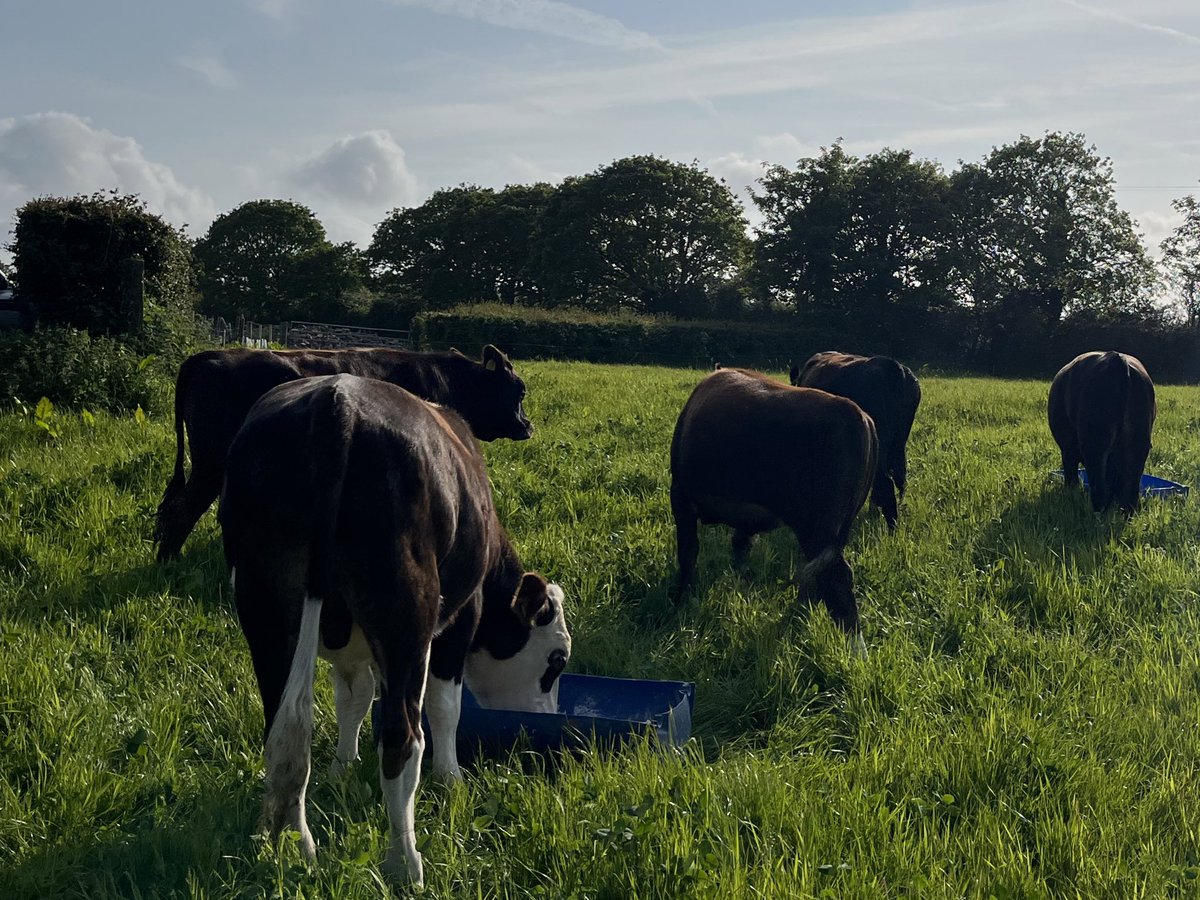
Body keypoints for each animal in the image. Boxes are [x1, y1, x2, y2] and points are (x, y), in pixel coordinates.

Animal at [154, 344, 532, 561]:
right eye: (520, 390)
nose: (527, 425)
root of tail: (204, 357)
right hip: (210, 464)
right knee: (180, 511)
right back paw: (169, 563)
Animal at [218, 373, 570, 886]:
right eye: (556, 660)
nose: (545, 717)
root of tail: (337, 401)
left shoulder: (350, 651)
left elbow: (354, 699)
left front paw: (342, 768)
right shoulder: (459, 620)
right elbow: (445, 707)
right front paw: (450, 778)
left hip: (266, 607)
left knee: (284, 732)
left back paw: (292, 844)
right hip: (407, 612)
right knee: (403, 736)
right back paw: (405, 862)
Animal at [670, 368, 877, 639]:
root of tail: (857, 416)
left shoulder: (681, 496)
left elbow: (688, 550)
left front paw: (683, 599)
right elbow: (740, 546)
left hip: (816, 528)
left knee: (836, 577)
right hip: (837, 529)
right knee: (819, 576)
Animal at [1048, 350, 1156, 514]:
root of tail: (1117, 360)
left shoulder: (1068, 450)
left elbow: (1071, 478)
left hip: (1094, 448)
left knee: (1099, 490)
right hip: (1138, 447)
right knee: (1130, 492)